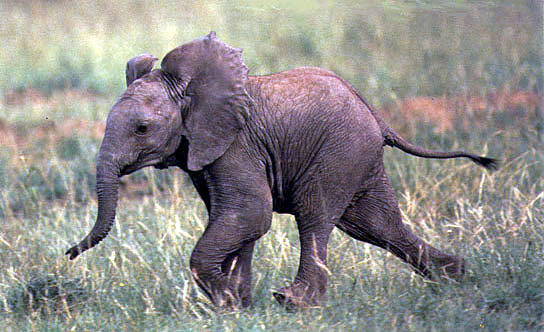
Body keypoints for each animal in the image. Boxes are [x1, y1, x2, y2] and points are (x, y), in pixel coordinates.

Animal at [65, 32, 498, 310]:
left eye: (142, 128)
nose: (68, 252)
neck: (192, 90)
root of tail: (377, 116)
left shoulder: (235, 146)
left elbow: (249, 213)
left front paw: (226, 301)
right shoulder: (206, 153)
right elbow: (234, 219)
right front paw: (235, 303)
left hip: (339, 152)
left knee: (316, 218)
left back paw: (293, 302)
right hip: (359, 158)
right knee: (375, 224)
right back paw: (456, 278)